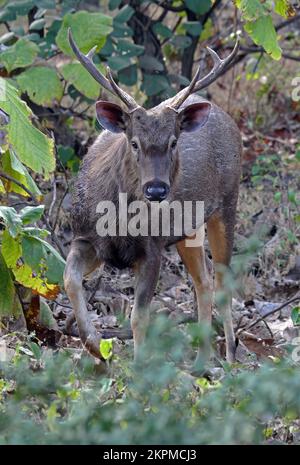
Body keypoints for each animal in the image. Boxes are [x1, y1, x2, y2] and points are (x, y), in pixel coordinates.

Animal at [64, 29, 243, 362]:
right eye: (134, 142)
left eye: (173, 142)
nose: (157, 189)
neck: (119, 223)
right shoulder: (85, 237)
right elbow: (69, 279)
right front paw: (94, 345)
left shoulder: (152, 248)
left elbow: (139, 316)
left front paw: (138, 366)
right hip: (188, 229)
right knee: (204, 281)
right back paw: (202, 360)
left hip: (228, 201)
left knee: (223, 281)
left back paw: (229, 357)